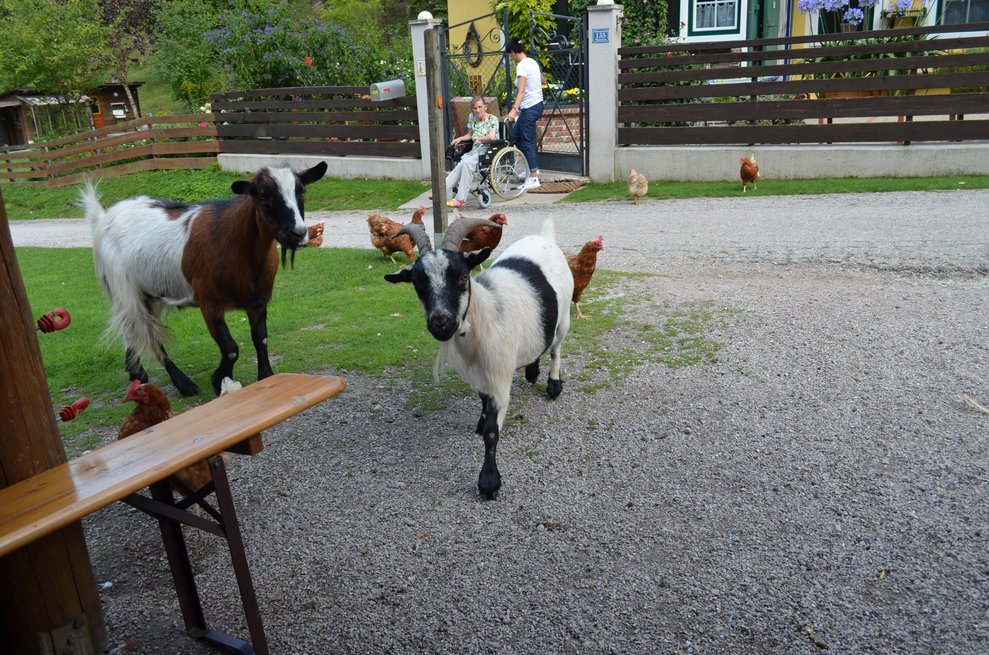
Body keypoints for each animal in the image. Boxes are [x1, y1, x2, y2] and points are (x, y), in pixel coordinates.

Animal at [80, 162, 328, 396]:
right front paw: (218, 381)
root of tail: (104, 218)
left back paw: (137, 374)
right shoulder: (209, 303)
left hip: (150, 293)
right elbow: (230, 348)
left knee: (135, 329)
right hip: (123, 288)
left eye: (301, 191)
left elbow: (261, 338)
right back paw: (181, 384)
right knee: (143, 332)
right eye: (263, 195)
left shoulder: (258, 301)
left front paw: (266, 376)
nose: (298, 233)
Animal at [385, 217, 574, 500]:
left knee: (556, 347)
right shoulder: (478, 375)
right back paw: (532, 371)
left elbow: (492, 432)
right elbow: (483, 404)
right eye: (417, 283)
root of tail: (544, 236)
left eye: (464, 276)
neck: (488, 316)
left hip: (564, 319)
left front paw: (489, 482)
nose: (441, 323)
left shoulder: (499, 378)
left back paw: (553, 384)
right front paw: (481, 419)